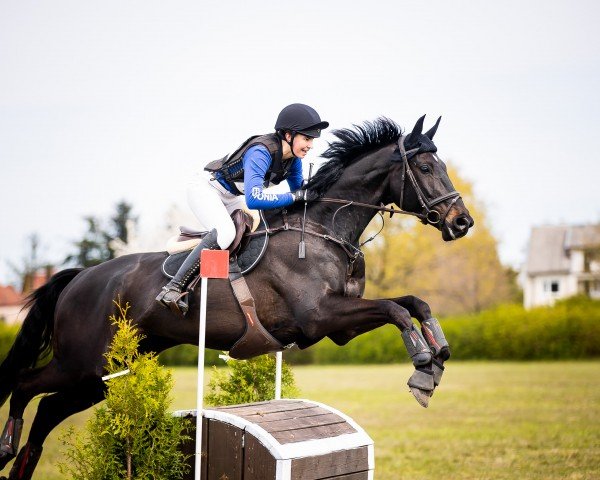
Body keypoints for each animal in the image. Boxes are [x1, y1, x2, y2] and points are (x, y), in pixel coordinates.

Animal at [0, 114, 474, 478]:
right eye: (426, 168)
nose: (462, 221)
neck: (324, 231)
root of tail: (80, 278)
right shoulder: (321, 317)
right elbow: (396, 309)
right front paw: (422, 367)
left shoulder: (339, 327)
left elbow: (413, 303)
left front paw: (438, 356)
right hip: (81, 363)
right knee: (25, 386)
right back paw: (7, 445)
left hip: (106, 373)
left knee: (48, 410)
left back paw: (20, 463)